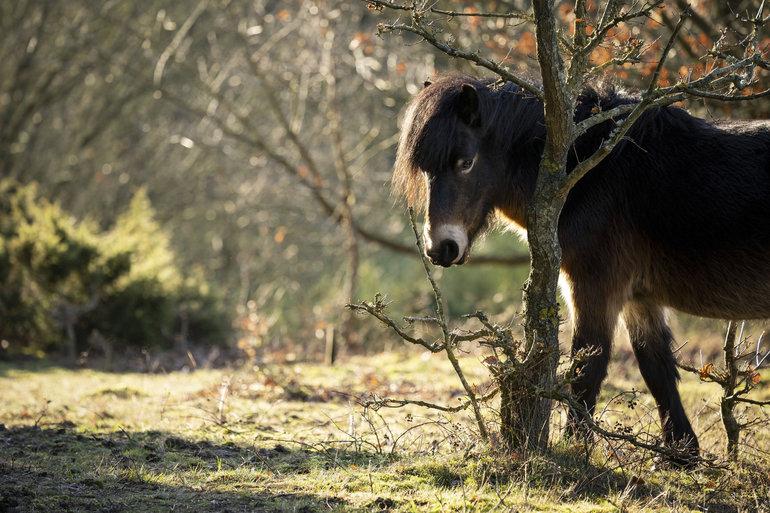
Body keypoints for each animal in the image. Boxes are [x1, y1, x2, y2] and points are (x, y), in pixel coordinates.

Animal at [396, 73, 768, 460]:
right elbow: (656, 368)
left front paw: (575, 449)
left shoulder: (595, 286)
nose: (441, 248)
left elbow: (587, 364)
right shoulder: (639, 297)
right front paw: (683, 454)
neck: (590, 169)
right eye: (425, 169)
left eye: (465, 162)